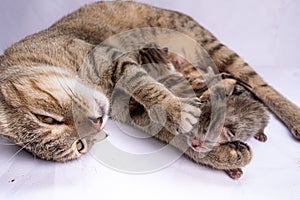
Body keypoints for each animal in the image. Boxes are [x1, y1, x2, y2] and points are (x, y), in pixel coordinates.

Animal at [0, 0, 298, 179]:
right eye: (79, 146)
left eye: (46, 118)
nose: (96, 124)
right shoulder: (133, 111)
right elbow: (172, 133)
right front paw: (220, 154)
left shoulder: (115, 60)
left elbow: (146, 86)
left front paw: (178, 108)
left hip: (209, 43)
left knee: (261, 84)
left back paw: (293, 117)